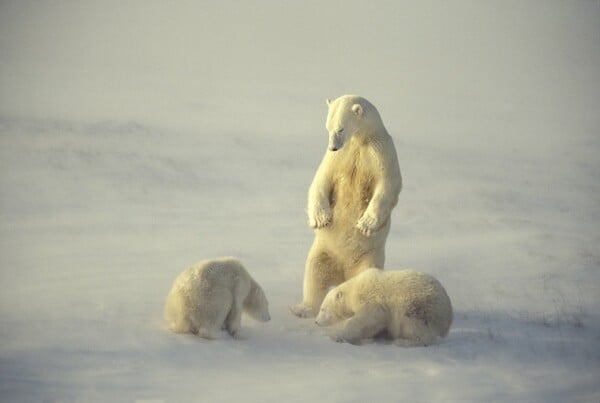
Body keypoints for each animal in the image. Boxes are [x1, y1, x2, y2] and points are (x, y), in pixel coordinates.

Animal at [290, 95, 400, 318]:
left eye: (340, 128)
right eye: (328, 127)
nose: (333, 146)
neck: (359, 141)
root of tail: (343, 275)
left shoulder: (380, 152)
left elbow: (388, 184)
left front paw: (366, 224)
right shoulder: (338, 157)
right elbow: (321, 180)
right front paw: (320, 218)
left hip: (370, 258)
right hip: (323, 251)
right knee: (314, 275)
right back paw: (303, 308)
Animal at [316, 270, 452, 346]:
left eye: (322, 309)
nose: (316, 322)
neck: (354, 289)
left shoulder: (371, 299)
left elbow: (367, 319)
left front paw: (337, 336)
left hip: (418, 307)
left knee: (417, 329)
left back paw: (402, 342)